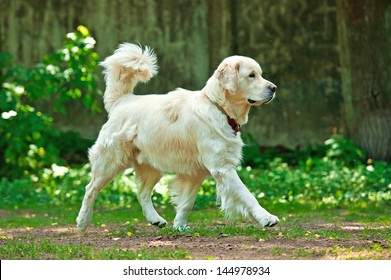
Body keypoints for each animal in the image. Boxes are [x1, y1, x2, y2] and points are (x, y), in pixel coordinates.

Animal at [76, 43, 278, 232]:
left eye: (260, 74)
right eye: (251, 75)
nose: (274, 88)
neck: (218, 107)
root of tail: (121, 101)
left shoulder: (196, 172)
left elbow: (187, 203)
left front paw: (180, 226)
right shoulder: (222, 168)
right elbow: (247, 195)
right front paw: (266, 218)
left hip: (152, 166)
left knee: (142, 193)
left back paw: (155, 219)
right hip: (110, 162)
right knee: (90, 189)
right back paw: (82, 221)